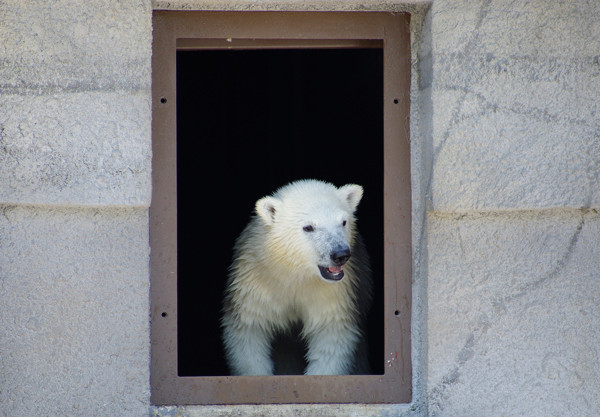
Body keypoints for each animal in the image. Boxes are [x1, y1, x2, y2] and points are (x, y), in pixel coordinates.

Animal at [220, 178, 370, 374]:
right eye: (308, 227)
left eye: (343, 222)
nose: (340, 254)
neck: (295, 271)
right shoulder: (255, 283)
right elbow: (249, 332)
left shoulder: (335, 293)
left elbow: (330, 337)